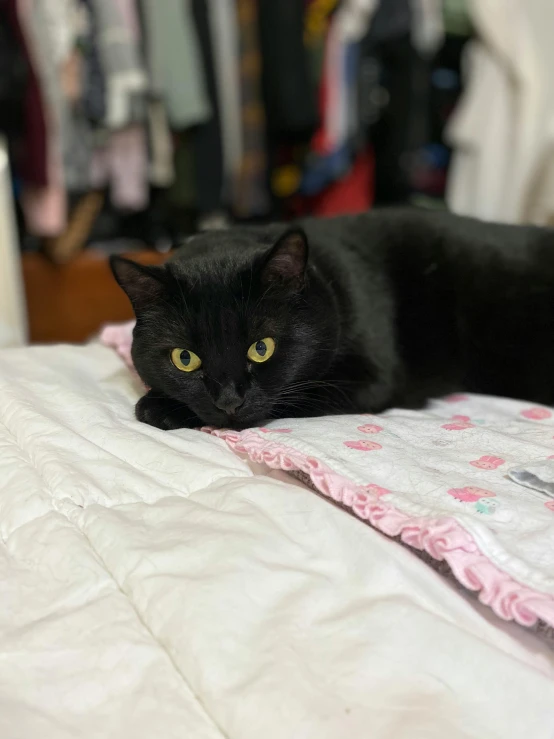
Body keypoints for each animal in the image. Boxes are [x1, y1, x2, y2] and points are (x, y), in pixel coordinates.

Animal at [110, 208, 552, 430]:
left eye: (262, 348)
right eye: (184, 359)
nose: (230, 402)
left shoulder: (371, 379)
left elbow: (298, 395)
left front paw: (159, 409)